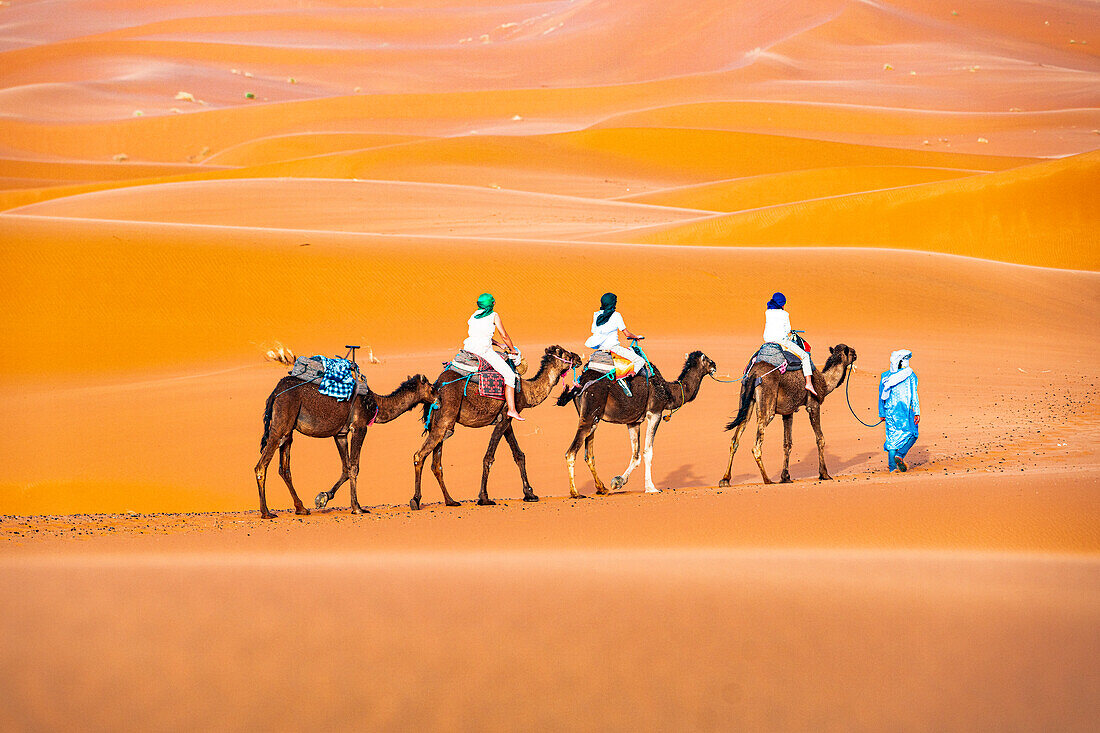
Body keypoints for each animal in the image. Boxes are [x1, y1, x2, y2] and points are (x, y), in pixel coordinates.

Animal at [255, 372, 431, 512]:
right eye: (431, 388)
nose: (436, 396)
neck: (375, 403)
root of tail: (275, 392)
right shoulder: (359, 427)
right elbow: (354, 467)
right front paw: (357, 508)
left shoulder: (340, 434)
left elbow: (346, 468)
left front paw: (323, 497)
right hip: (281, 423)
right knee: (261, 466)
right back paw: (266, 512)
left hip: (288, 431)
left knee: (284, 469)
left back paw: (301, 509)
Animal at [413, 343, 585, 508]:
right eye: (565, 353)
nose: (578, 358)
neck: (526, 392)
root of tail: (436, 385)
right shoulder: (505, 417)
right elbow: (489, 457)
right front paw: (484, 498)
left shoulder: (508, 420)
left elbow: (519, 455)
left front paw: (530, 494)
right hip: (445, 419)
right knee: (419, 455)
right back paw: (415, 500)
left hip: (439, 423)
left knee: (436, 464)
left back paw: (450, 501)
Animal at [563, 347, 717, 497]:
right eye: (707, 359)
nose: (715, 365)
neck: (668, 391)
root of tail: (580, 384)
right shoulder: (655, 413)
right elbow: (648, 452)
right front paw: (651, 488)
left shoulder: (633, 421)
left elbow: (635, 456)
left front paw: (618, 481)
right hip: (590, 411)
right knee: (571, 452)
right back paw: (575, 492)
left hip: (591, 417)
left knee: (589, 455)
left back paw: (602, 488)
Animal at [721, 343, 858, 484]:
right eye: (852, 352)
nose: (856, 354)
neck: (825, 383)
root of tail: (754, 372)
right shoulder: (813, 405)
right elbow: (820, 439)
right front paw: (824, 474)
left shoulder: (788, 412)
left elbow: (787, 444)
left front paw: (785, 477)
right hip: (767, 399)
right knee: (757, 444)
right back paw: (767, 480)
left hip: (746, 398)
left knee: (737, 435)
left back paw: (725, 479)